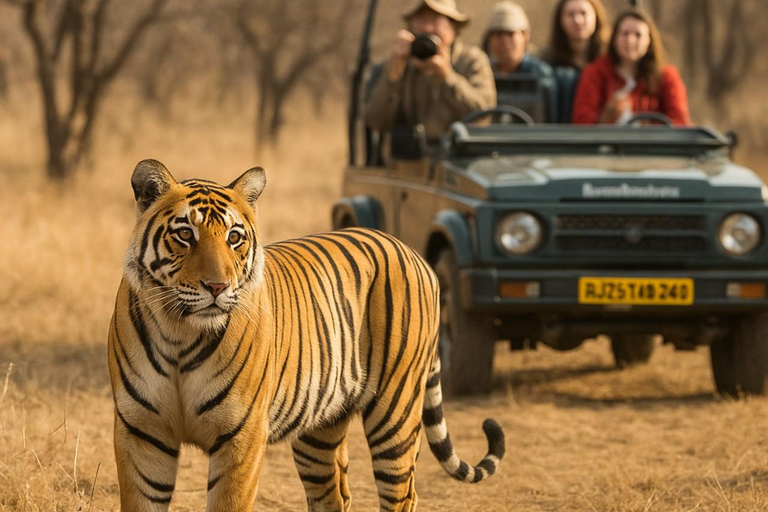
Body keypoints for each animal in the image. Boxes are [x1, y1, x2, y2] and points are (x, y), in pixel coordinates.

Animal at [108, 159, 506, 511]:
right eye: (185, 234)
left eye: (234, 237)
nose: (218, 287)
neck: (180, 333)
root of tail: (411, 251)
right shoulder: (142, 433)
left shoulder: (241, 437)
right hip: (320, 428)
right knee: (334, 495)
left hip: (396, 414)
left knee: (403, 495)